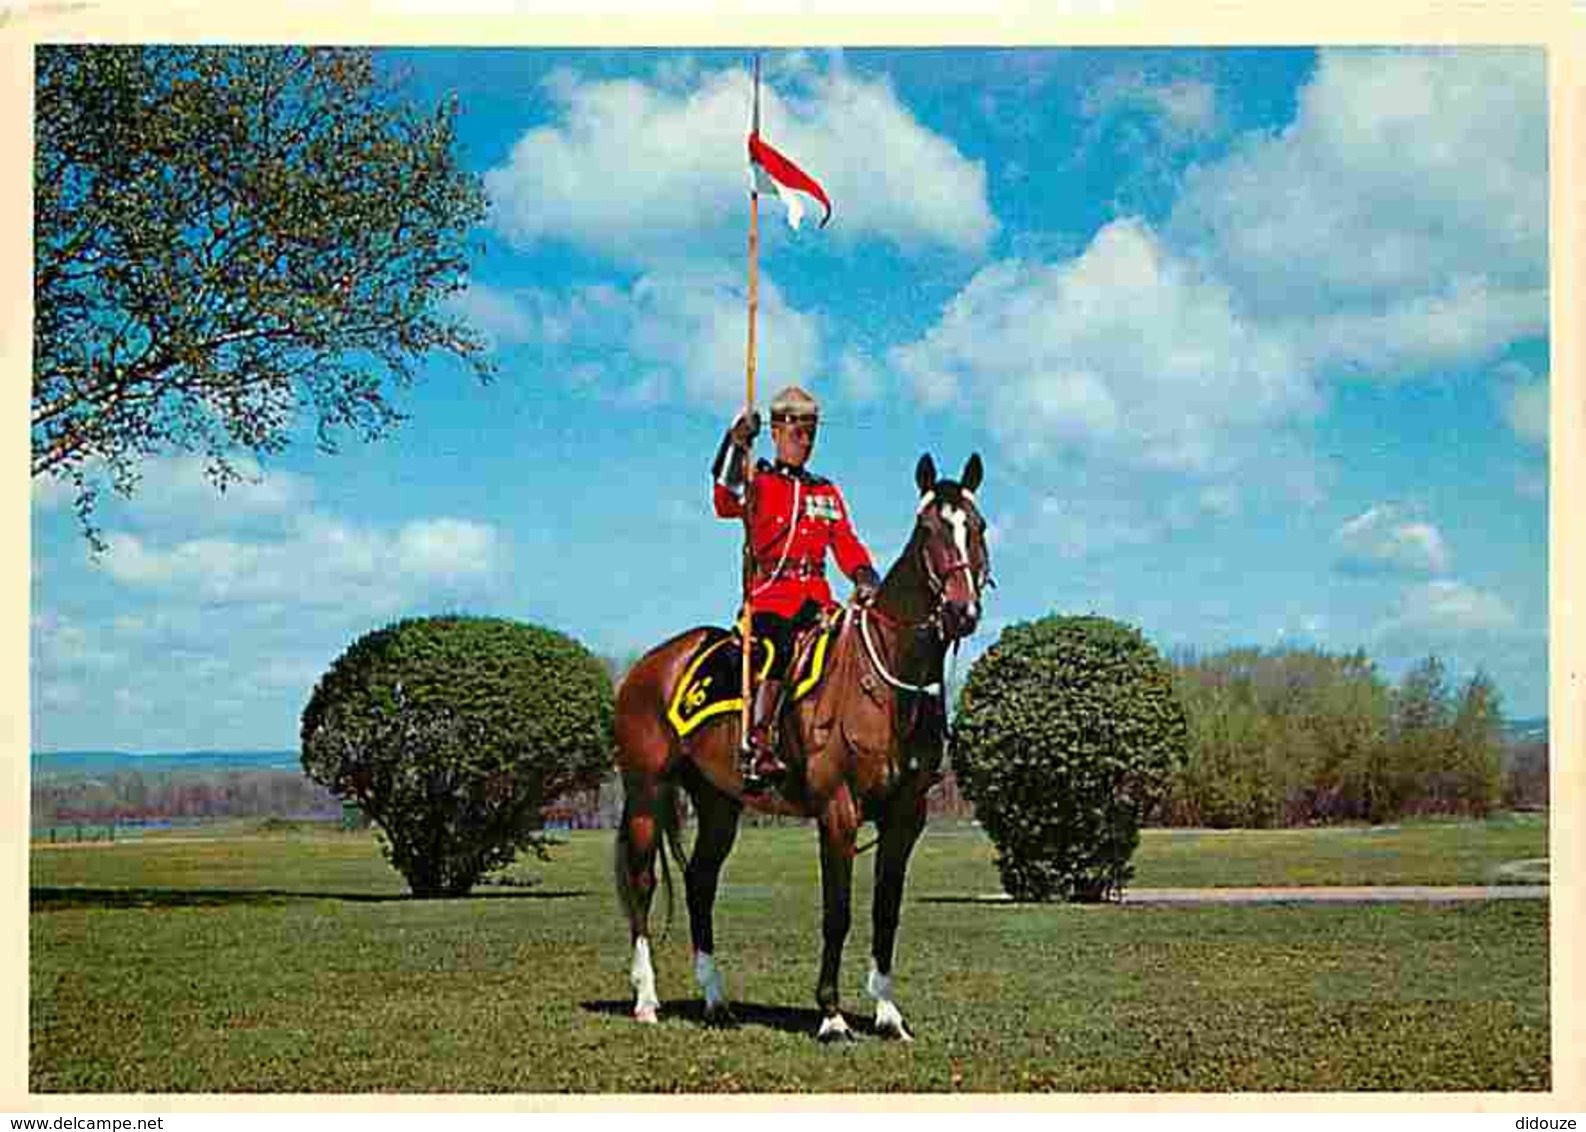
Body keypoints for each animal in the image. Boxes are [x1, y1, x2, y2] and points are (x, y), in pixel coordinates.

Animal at [612, 453, 983, 1040]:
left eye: (979, 527)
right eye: (928, 531)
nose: (961, 611)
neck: (888, 679)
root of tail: (650, 665)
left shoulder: (907, 815)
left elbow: (885, 911)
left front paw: (887, 1012)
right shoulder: (838, 809)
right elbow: (837, 911)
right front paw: (831, 1014)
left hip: (719, 802)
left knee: (699, 881)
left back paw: (715, 1000)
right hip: (648, 790)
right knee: (644, 881)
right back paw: (646, 999)